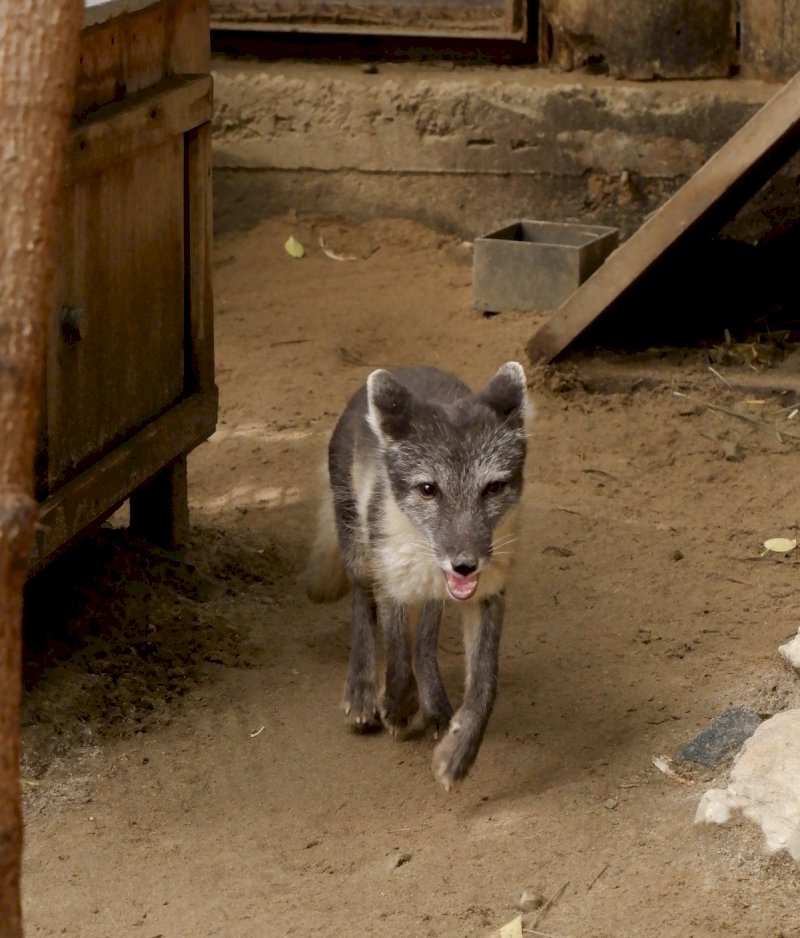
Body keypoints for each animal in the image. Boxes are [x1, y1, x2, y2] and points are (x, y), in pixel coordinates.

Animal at [308, 362, 532, 788]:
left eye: (493, 487)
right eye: (428, 489)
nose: (465, 564)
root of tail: (406, 367)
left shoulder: (487, 593)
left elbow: (485, 684)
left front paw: (458, 752)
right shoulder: (392, 580)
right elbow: (396, 655)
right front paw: (396, 706)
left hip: (433, 593)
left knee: (425, 641)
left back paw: (435, 705)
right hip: (359, 547)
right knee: (363, 606)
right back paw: (362, 688)